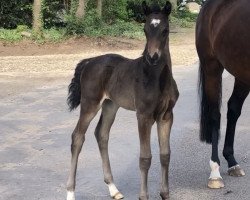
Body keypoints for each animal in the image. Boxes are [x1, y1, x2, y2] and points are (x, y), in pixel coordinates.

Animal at [66, 1, 179, 200]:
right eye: (145, 29)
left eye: (165, 30)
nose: (152, 57)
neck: (157, 78)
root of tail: (89, 62)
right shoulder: (144, 115)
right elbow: (145, 158)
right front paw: (143, 196)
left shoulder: (166, 115)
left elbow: (165, 154)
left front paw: (165, 194)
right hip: (90, 104)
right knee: (78, 137)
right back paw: (70, 192)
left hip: (110, 105)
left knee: (101, 135)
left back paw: (114, 189)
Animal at [196, 0, 249, 189]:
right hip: (212, 67)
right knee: (215, 115)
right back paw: (215, 173)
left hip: (242, 74)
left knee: (233, 110)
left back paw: (232, 162)